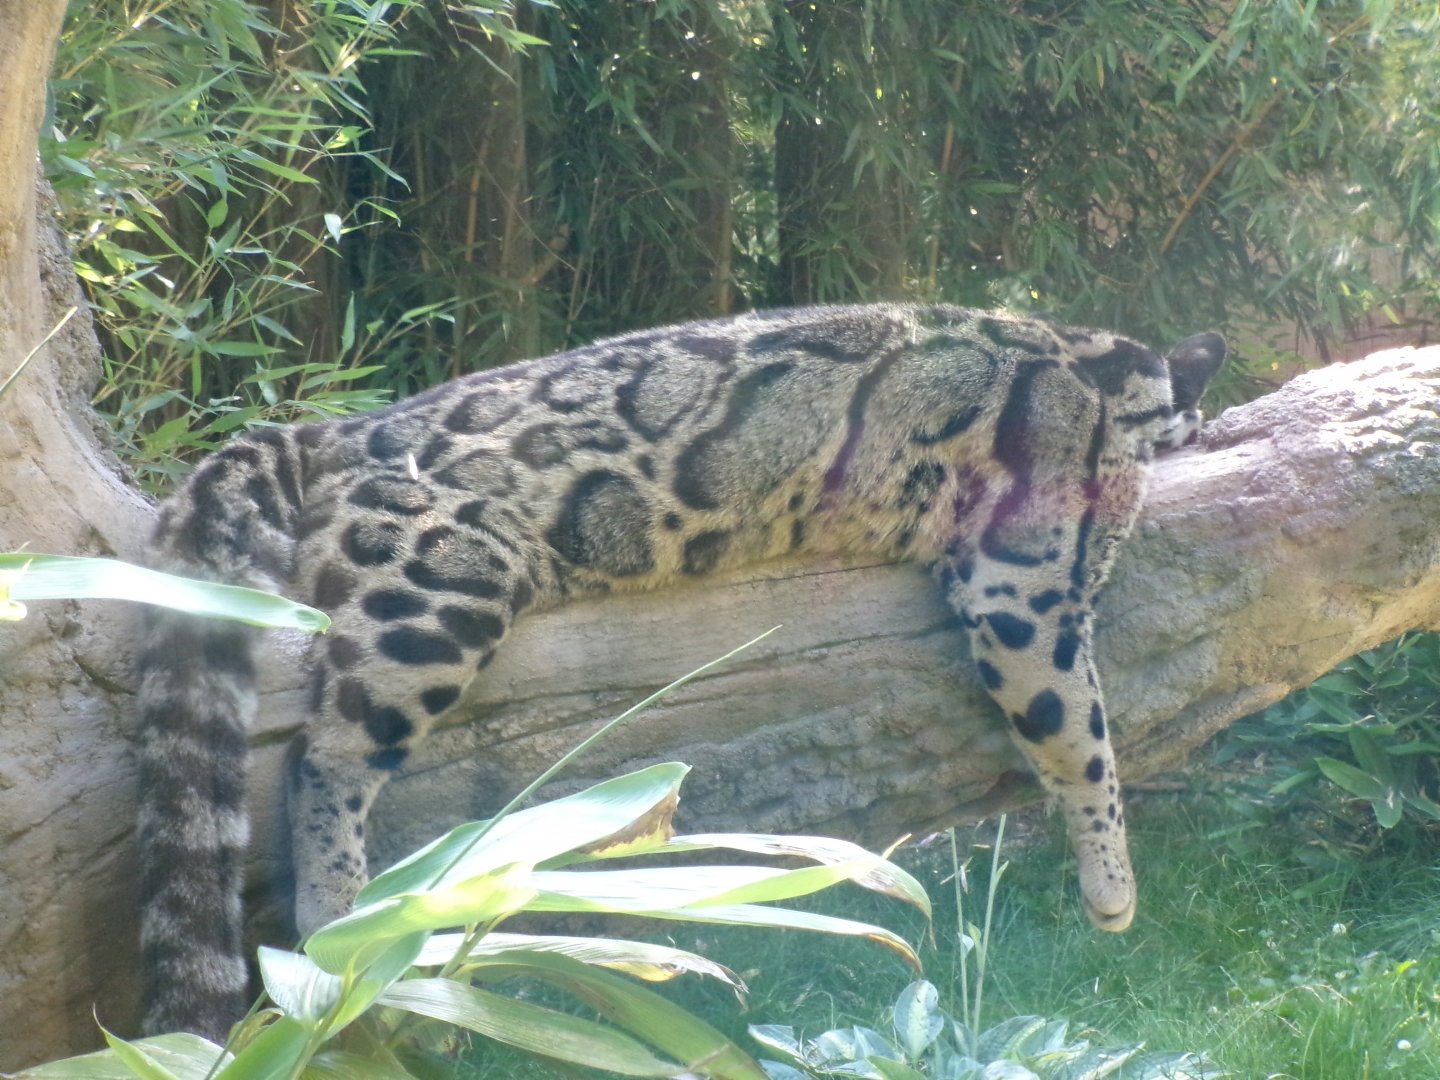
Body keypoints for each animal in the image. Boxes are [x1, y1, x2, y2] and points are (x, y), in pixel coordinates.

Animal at [135, 302, 1225, 1039]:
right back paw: (343, 912)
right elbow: (1081, 739)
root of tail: (330, 428)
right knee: (324, 758)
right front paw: (1113, 886)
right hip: (438, 596)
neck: (1098, 370)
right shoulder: (1023, 588)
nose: (1198, 429)